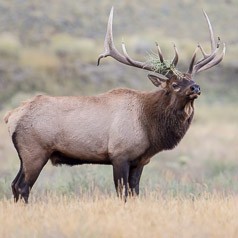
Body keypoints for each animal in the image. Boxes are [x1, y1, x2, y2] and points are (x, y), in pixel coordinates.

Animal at [3, 8, 224, 204]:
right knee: (22, 186)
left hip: (25, 155)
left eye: (192, 79)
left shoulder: (140, 161)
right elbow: (122, 193)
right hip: (35, 151)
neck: (150, 127)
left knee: (14, 185)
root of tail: (10, 116)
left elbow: (135, 193)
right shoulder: (120, 154)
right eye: (175, 84)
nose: (196, 87)